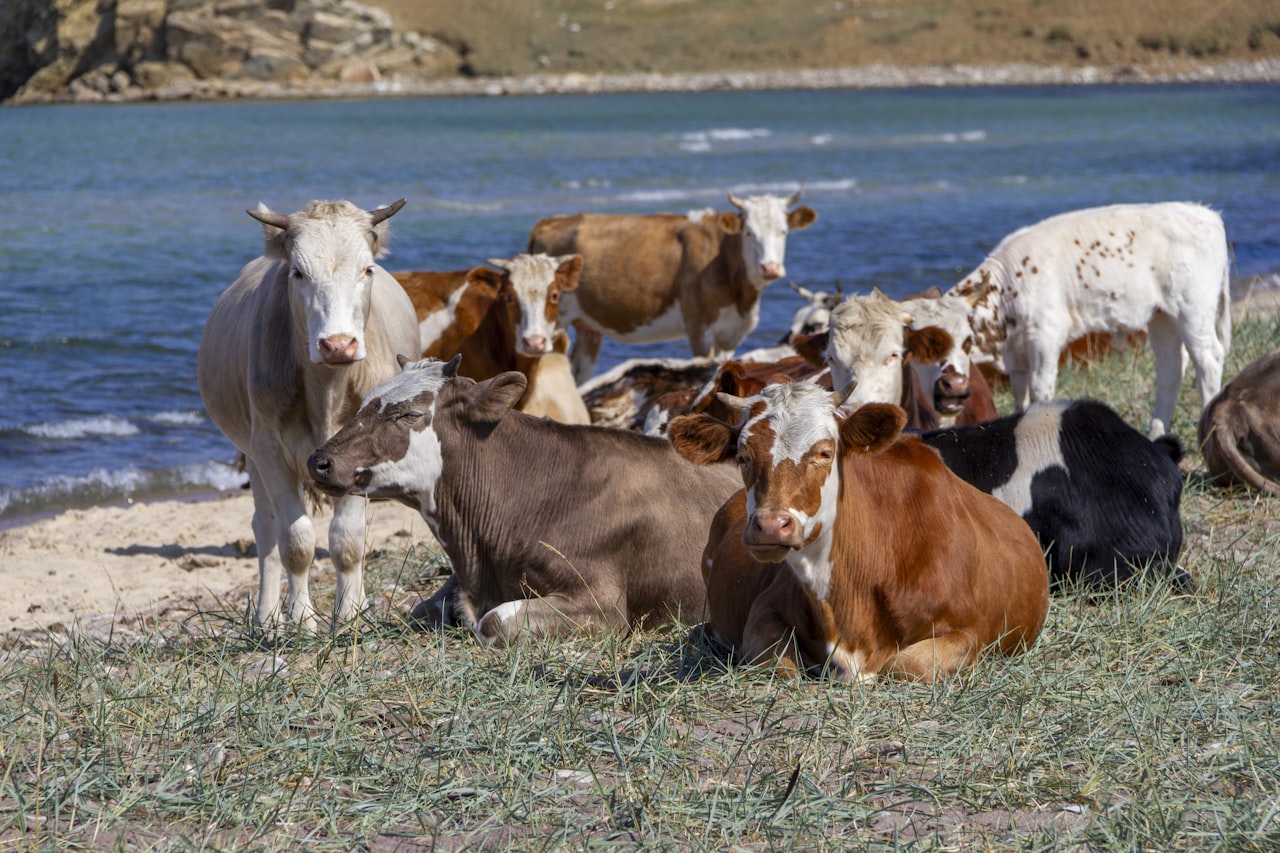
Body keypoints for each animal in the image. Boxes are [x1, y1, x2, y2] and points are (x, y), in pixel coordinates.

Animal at [197, 198, 421, 630]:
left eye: (367, 269)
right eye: (298, 273)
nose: (338, 344)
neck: (327, 389)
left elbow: (348, 540)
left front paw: (350, 616)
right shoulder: (268, 448)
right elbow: (295, 541)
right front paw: (300, 620)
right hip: (251, 453)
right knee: (265, 529)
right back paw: (267, 618)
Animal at [306, 356, 744, 644]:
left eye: (408, 414)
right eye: (364, 403)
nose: (318, 461)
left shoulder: (603, 603)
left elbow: (493, 622)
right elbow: (425, 608)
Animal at [527, 190, 818, 382]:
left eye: (783, 231)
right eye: (749, 232)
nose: (770, 267)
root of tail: (550, 221)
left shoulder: (732, 333)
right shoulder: (699, 326)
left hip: (588, 325)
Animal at [667, 381, 1049, 681]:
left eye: (825, 452)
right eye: (743, 456)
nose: (771, 525)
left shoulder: (970, 630)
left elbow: (905, 665)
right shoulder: (764, 609)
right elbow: (780, 664)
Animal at [948, 202, 1232, 438]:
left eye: (964, 339)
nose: (949, 382)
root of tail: (1206, 214)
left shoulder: (1044, 336)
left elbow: (1040, 387)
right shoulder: (1017, 355)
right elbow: (1021, 394)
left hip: (1193, 308)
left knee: (1208, 358)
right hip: (1162, 316)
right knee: (1170, 369)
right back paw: (1156, 435)